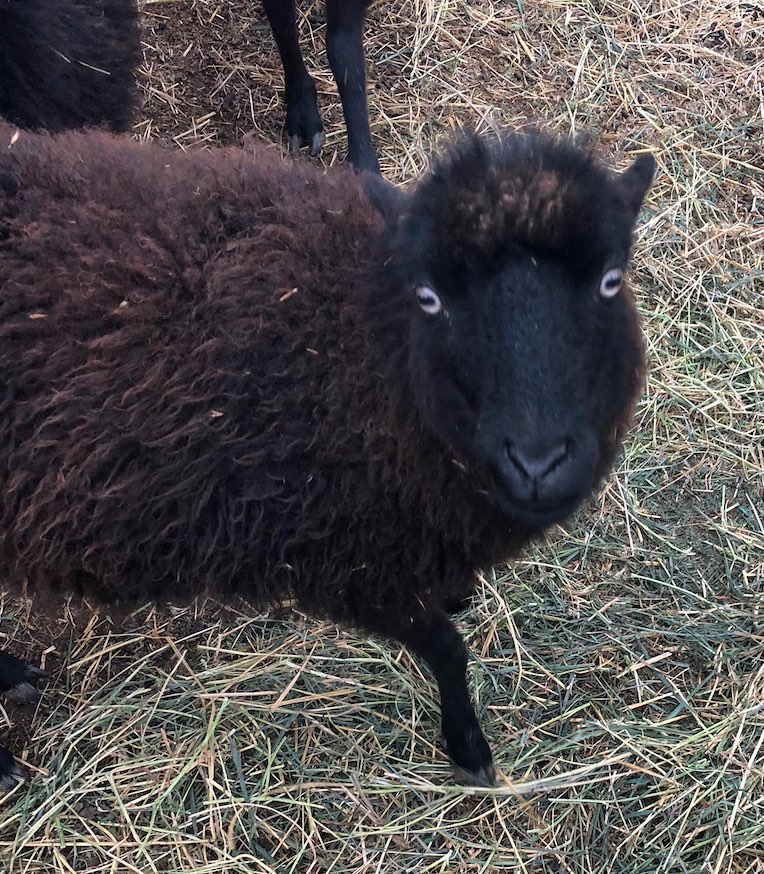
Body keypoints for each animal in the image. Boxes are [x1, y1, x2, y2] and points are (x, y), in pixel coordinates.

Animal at [0, 118, 654, 787]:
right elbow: (447, 648)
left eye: (611, 280)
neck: (363, 350)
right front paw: (468, 747)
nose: (538, 464)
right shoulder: (349, 569)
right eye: (429, 297)